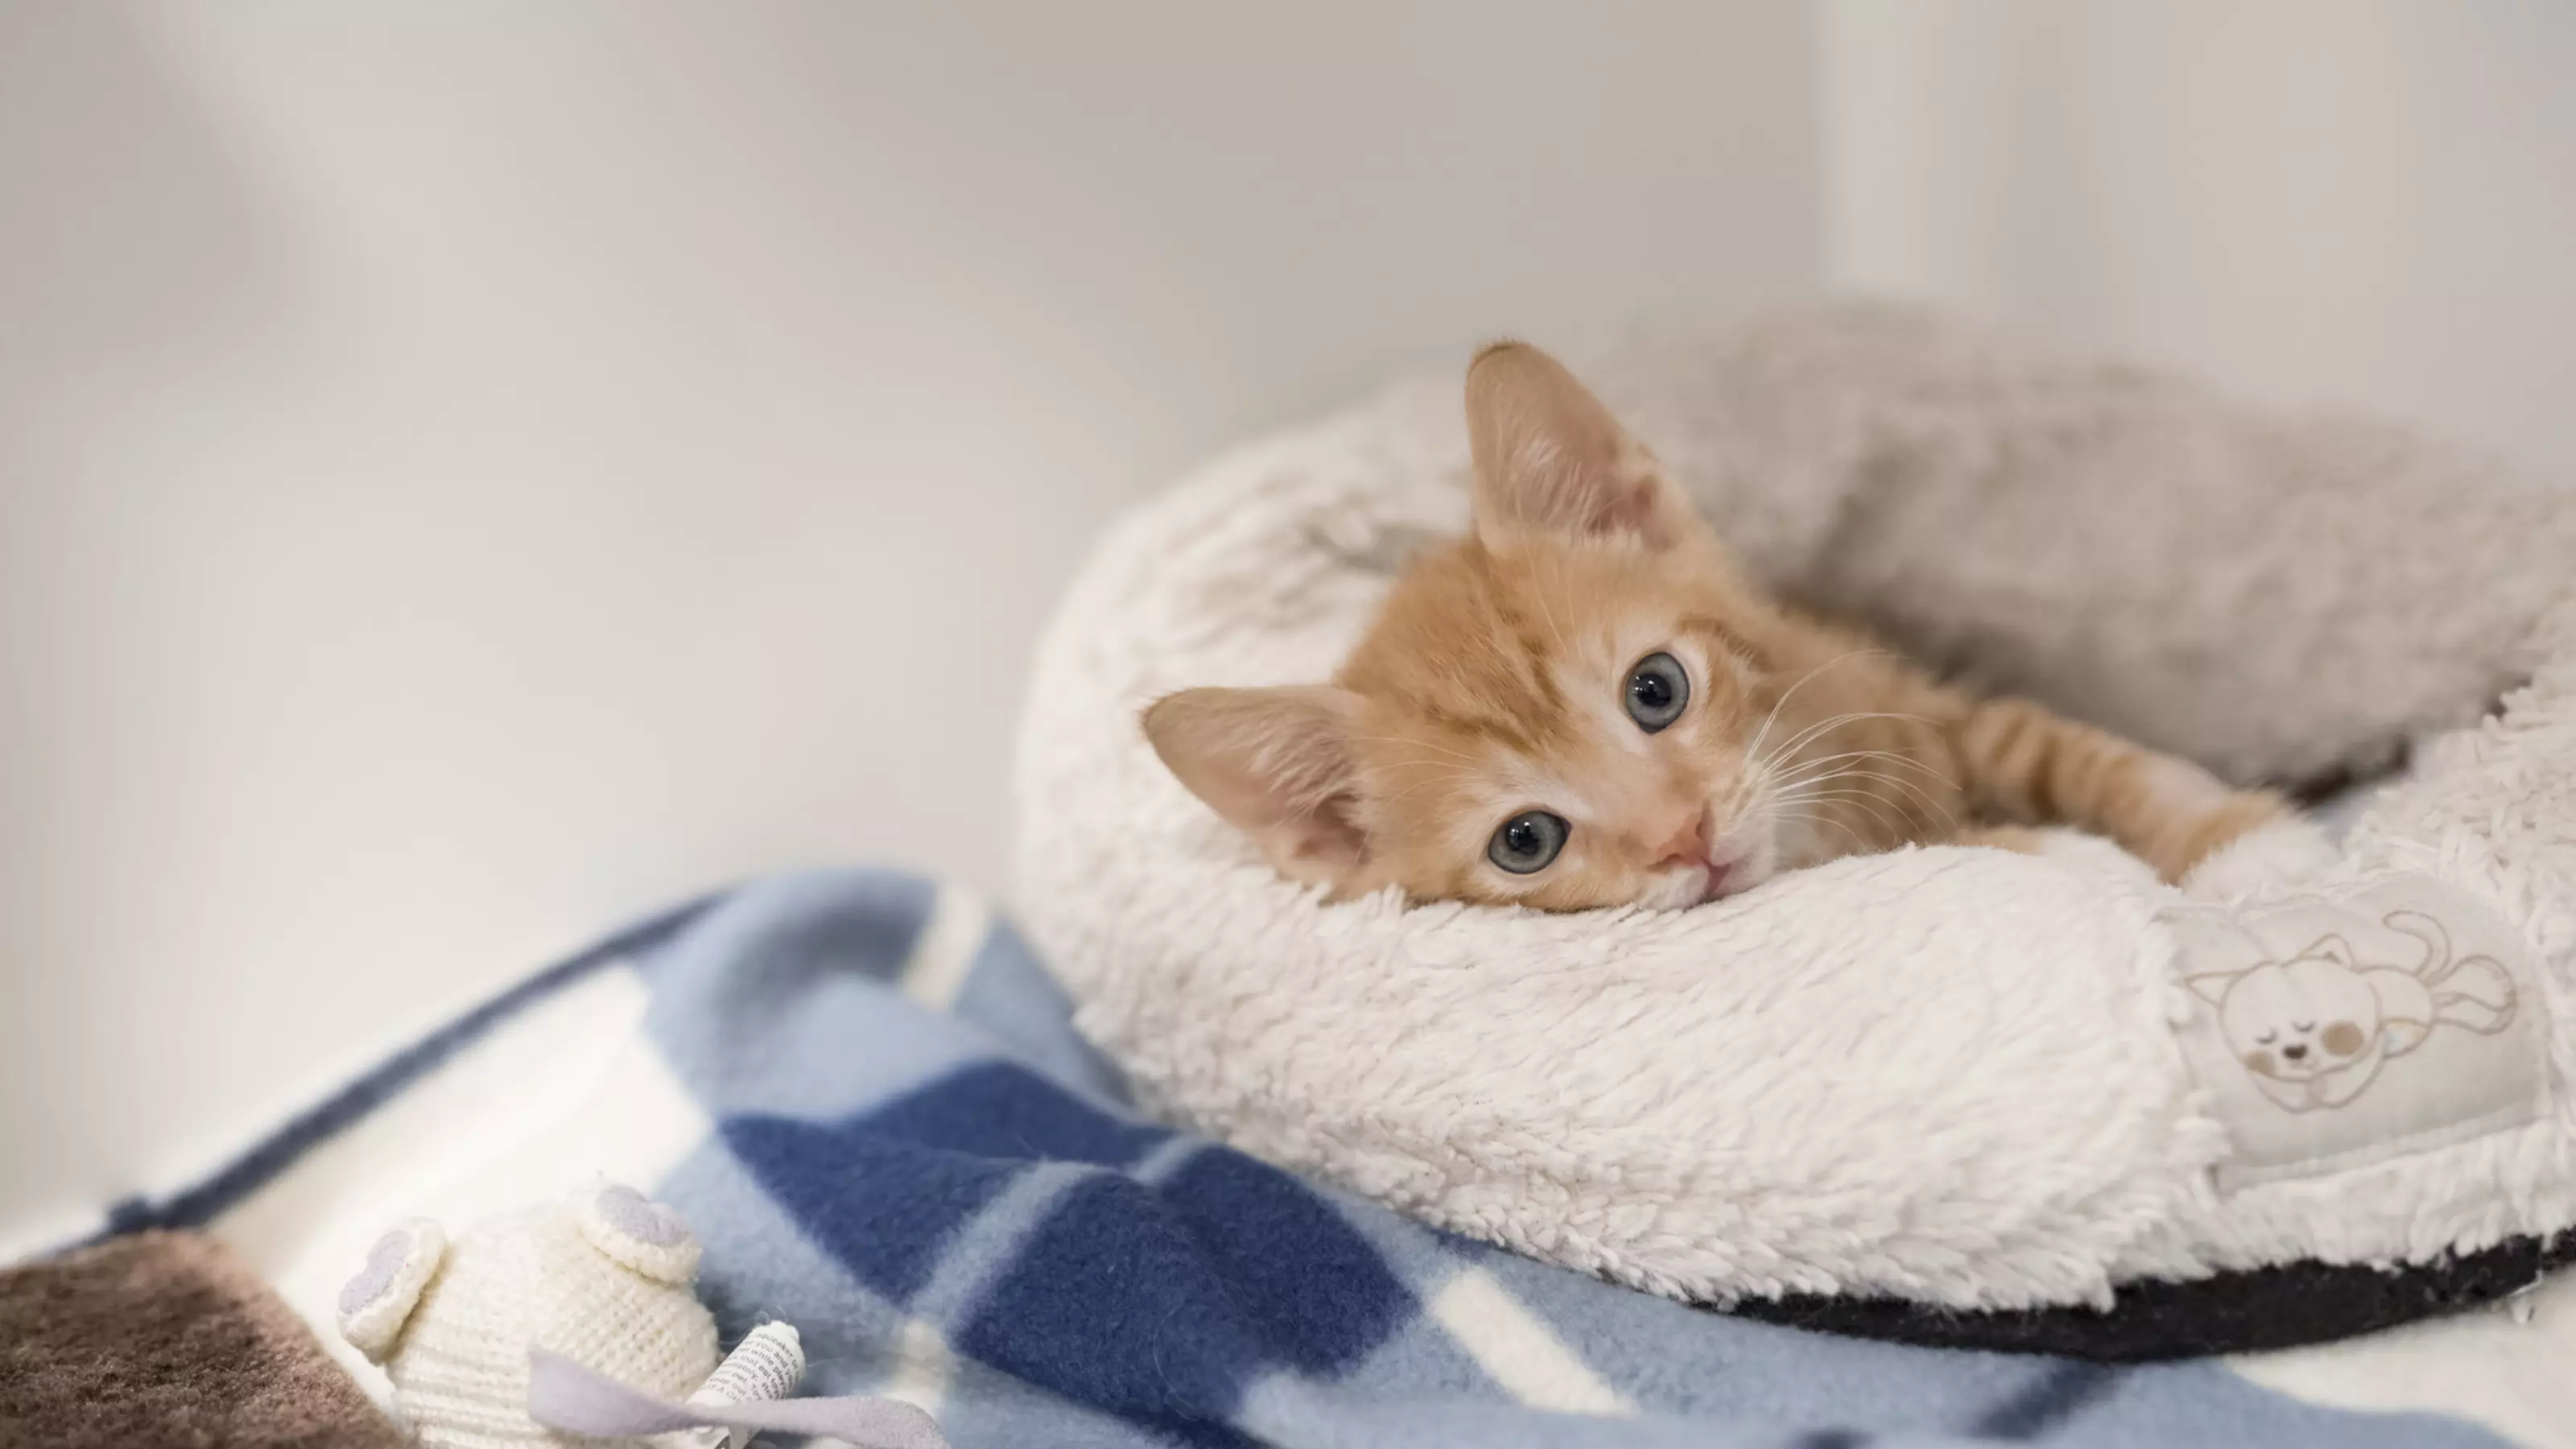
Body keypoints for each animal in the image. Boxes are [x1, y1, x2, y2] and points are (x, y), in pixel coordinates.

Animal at [1138, 340, 2287, 902]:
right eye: (1525, 841)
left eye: (1655, 690)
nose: (1681, 837)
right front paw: (2048, 854)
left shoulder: (1909, 700)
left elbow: (2079, 758)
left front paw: (2241, 848)